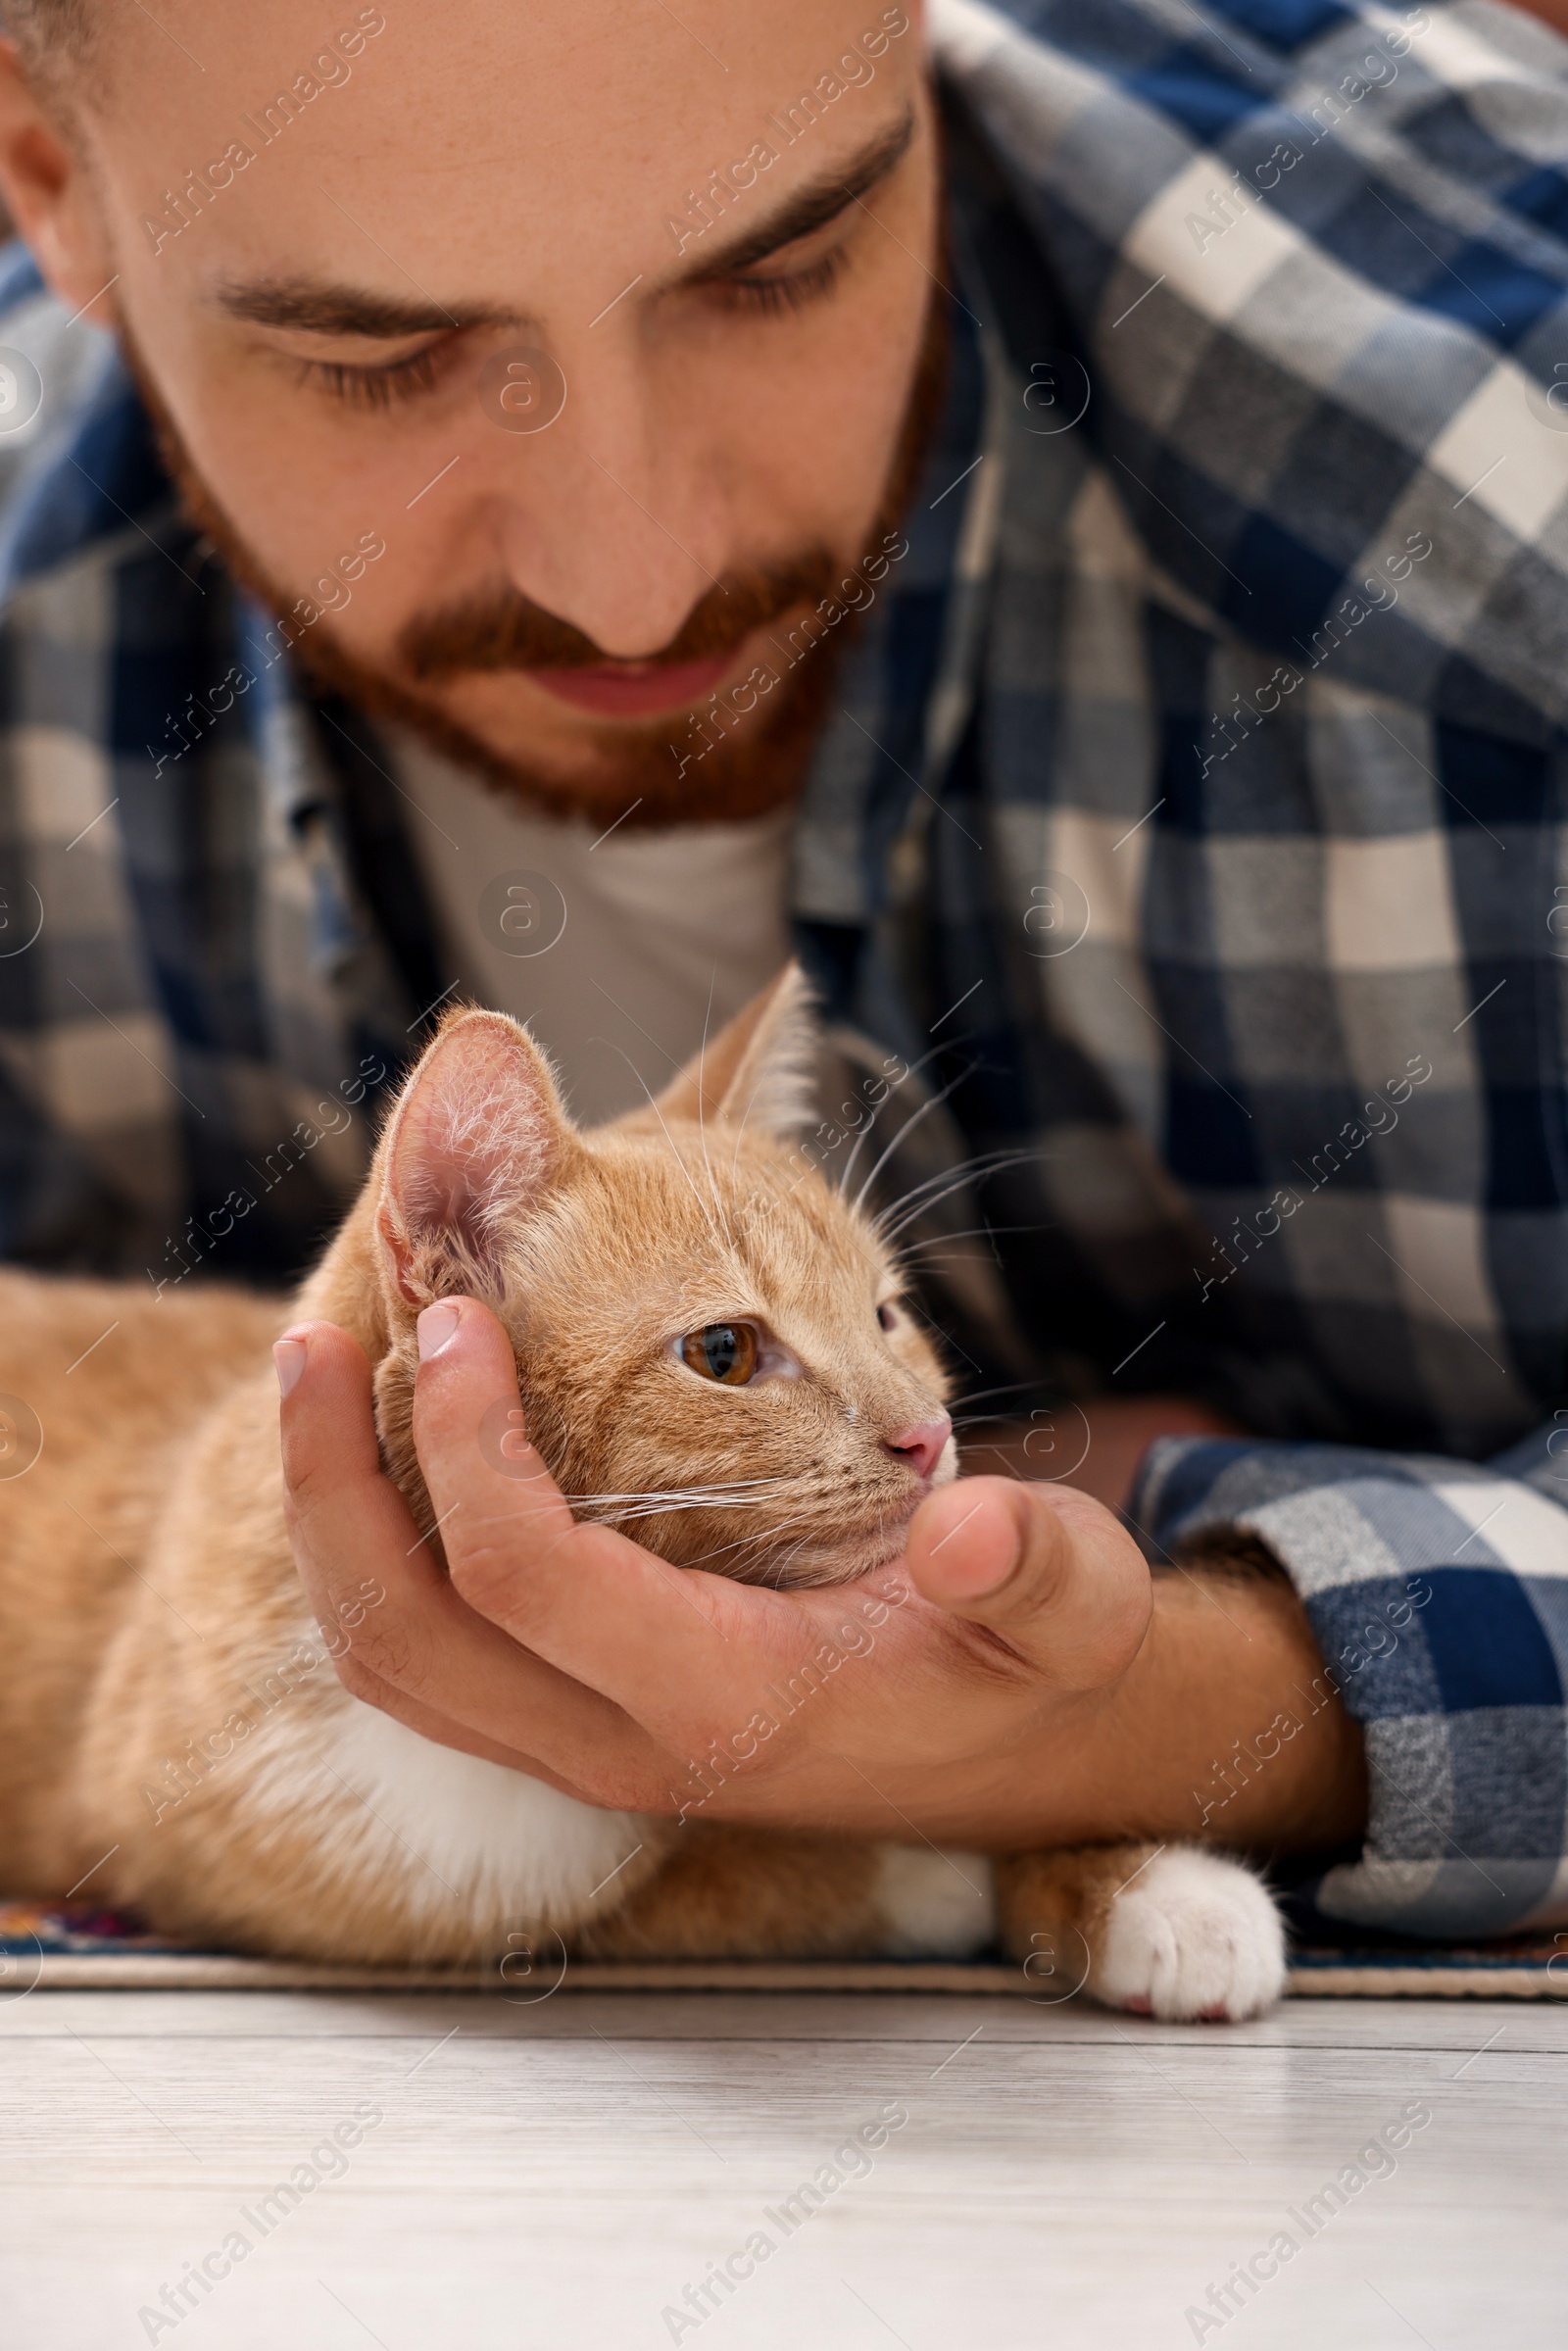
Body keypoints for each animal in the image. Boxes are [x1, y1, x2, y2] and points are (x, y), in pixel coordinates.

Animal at [0, 973, 1278, 2022]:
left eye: (885, 1315)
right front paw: (976, 1873)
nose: (927, 1438)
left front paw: (1140, 1878)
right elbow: (758, 1874)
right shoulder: (354, 1869)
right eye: (724, 1351)